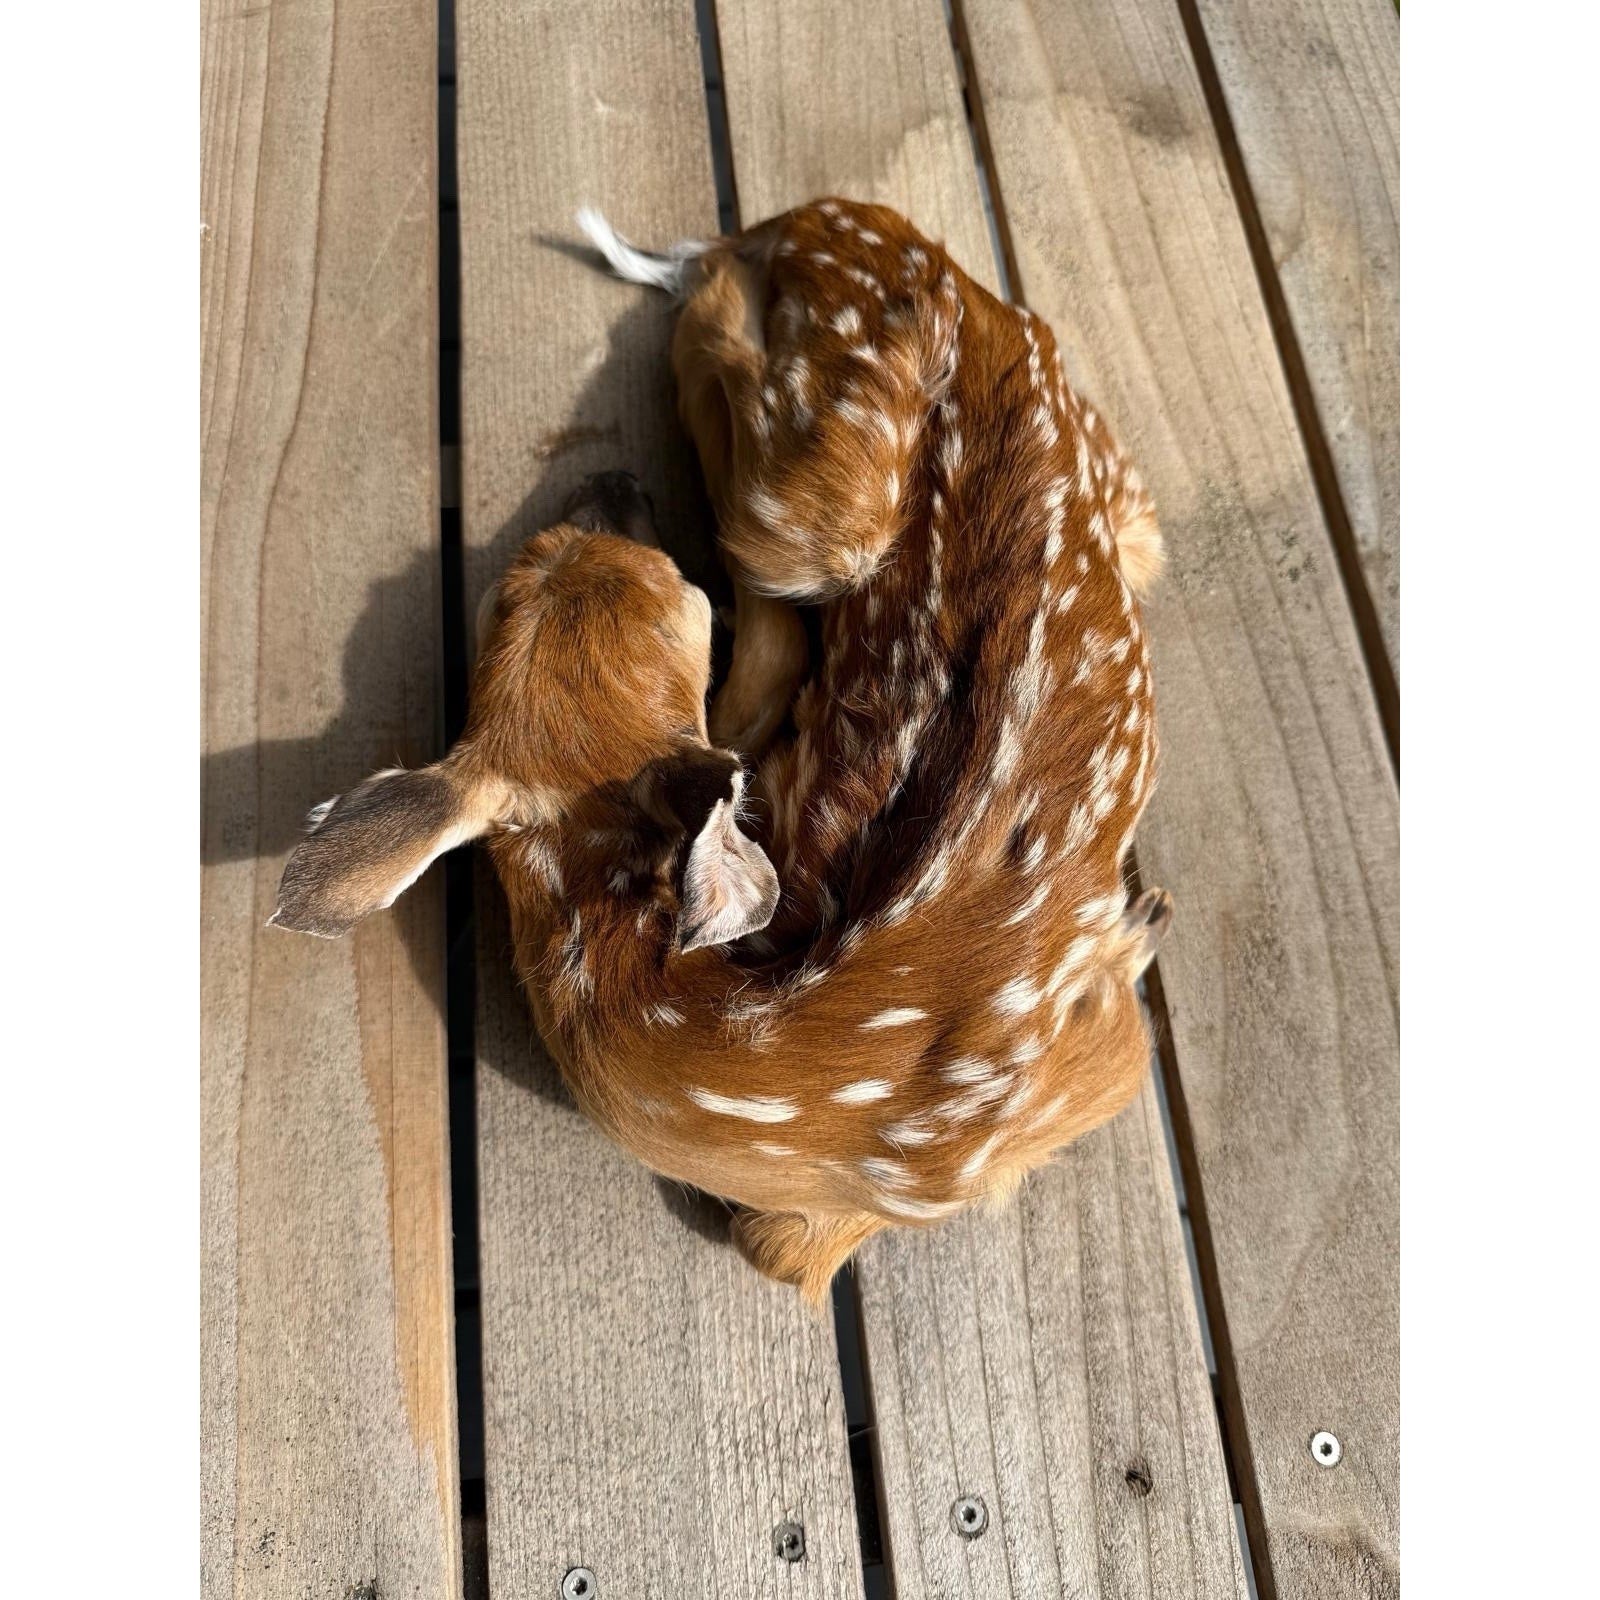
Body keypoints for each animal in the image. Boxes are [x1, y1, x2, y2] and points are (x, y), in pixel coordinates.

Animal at [270, 197, 1172, 1305]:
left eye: (516, 580)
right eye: (676, 598)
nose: (606, 485)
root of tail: (836, 218)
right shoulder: (1081, 1073)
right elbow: (782, 1249)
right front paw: (1135, 928)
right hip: (857, 508)